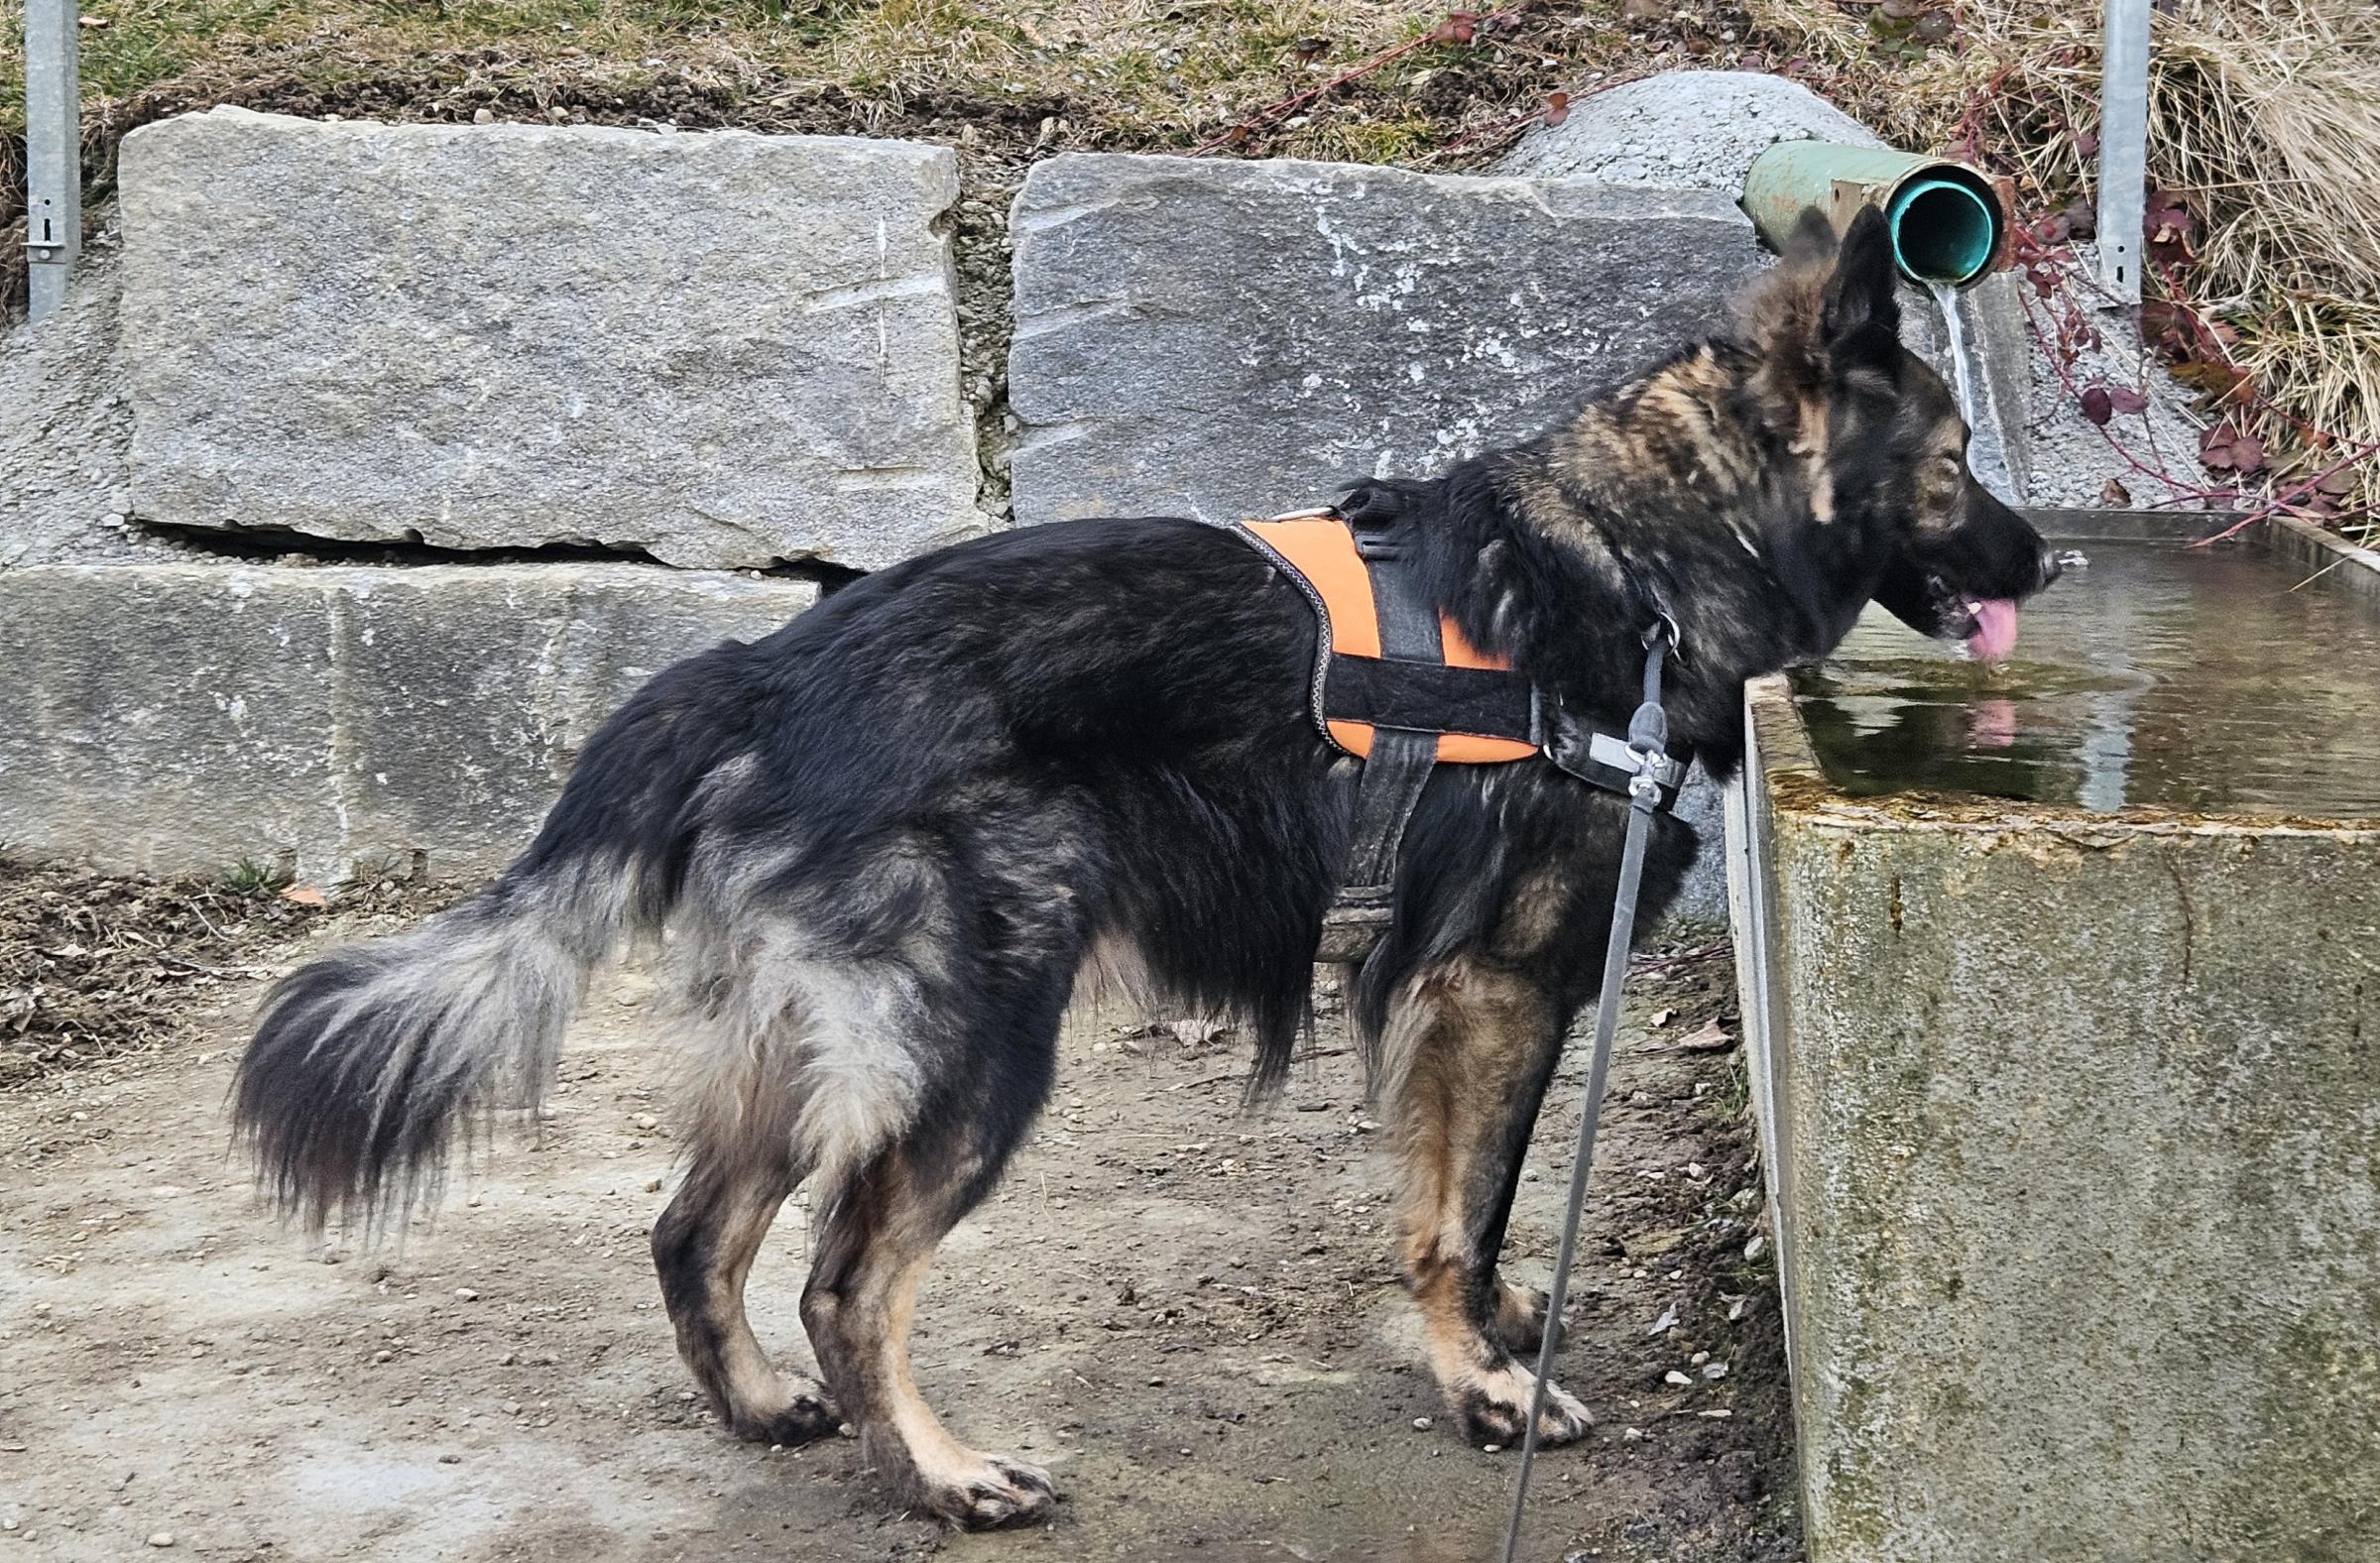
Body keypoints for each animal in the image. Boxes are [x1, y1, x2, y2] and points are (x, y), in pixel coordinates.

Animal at [232, 206, 2063, 1528]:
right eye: (1958, 459)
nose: (2057, 558)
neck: (1650, 545)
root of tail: (770, 662)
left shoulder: (1478, 994)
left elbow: (1465, 1204)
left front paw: (1490, 1343)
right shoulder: (1497, 985)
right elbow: (1465, 1218)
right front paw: (1486, 1384)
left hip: (811, 1045)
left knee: (694, 1230)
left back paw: (757, 1410)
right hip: (977, 1047)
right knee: (846, 1279)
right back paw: (946, 1475)